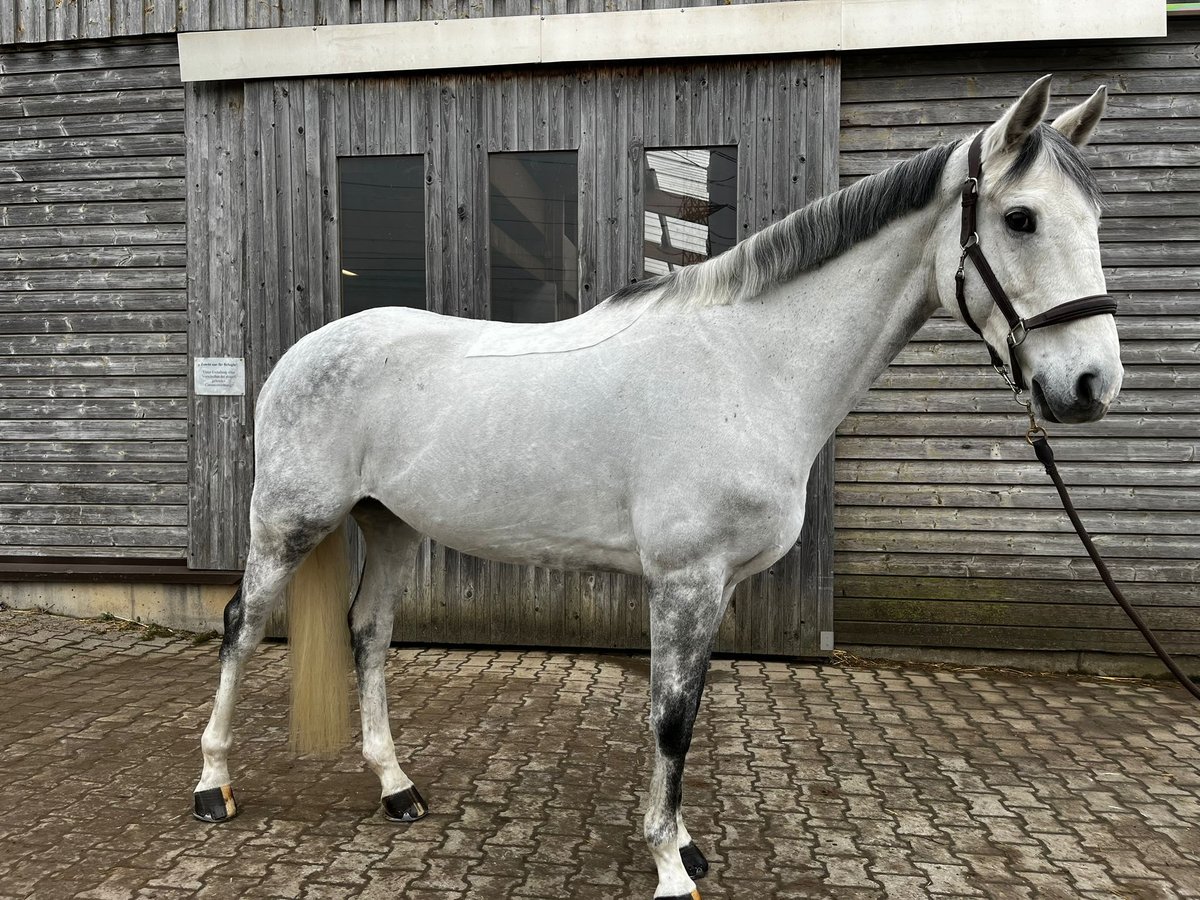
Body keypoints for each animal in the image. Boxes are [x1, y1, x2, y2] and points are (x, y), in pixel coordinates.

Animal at [192, 79, 1118, 900]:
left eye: (1096, 218)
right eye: (1021, 218)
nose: (1091, 386)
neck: (748, 363)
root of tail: (306, 351)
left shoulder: (716, 587)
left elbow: (691, 710)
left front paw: (683, 842)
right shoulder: (685, 579)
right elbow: (671, 718)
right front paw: (671, 867)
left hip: (387, 523)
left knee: (370, 634)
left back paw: (395, 789)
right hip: (288, 523)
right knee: (243, 625)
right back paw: (212, 787)